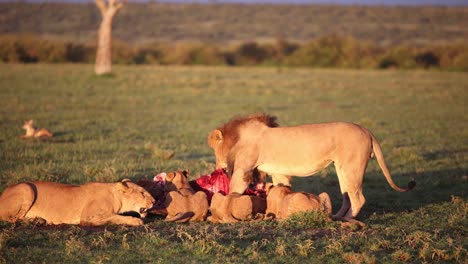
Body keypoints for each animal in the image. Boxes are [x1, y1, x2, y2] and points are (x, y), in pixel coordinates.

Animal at [0, 178, 156, 226]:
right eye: (143, 193)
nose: (155, 201)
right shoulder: (87, 217)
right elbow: (115, 217)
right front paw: (135, 221)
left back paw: (39, 220)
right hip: (27, 188)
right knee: (14, 219)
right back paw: (36, 221)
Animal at [208, 113, 416, 221]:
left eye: (214, 151)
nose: (218, 168)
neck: (237, 138)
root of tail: (366, 130)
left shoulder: (242, 171)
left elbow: (232, 193)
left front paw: (221, 212)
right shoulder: (279, 173)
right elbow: (281, 190)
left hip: (352, 168)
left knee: (358, 198)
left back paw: (346, 220)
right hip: (342, 169)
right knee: (347, 196)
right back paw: (337, 216)